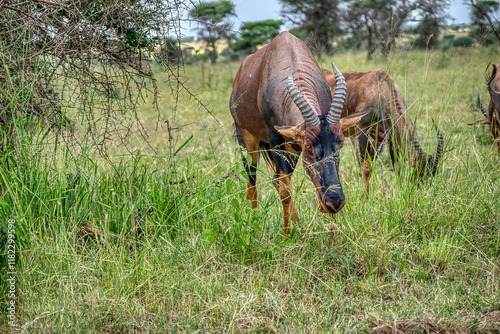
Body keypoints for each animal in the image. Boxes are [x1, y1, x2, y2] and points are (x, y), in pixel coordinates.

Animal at [229, 31, 364, 235]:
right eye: (309, 145)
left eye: (340, 143)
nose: (334, 202)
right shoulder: (275, 138)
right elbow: (285, 192)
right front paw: (286, 237)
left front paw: (334, 235)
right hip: (247, 139)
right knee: (253, 183)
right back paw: (255, 226)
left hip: (291, 149)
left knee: (277, 180)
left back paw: (299, 229)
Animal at [320, 67, 446, 196]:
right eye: (418, 169)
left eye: (433, 172)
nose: (421, 191)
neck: (380, 88)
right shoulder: (362, 129)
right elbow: (365, 166)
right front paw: (365, 197)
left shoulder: (389, 138)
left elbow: (397, 166)